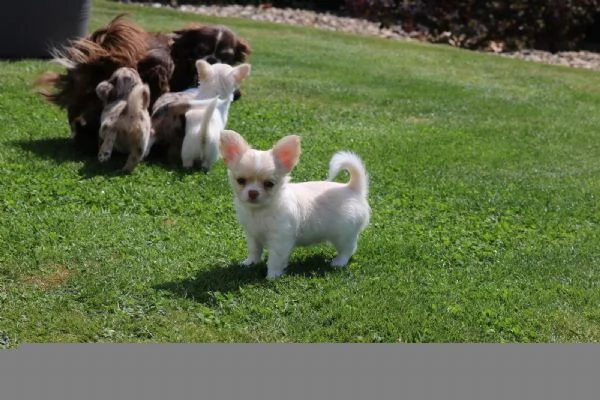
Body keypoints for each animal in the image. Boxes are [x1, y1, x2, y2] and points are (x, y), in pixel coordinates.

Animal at [220, 129, 370, 278]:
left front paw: (272, 276)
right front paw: (250, 263)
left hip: (343, 234)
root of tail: (353, 189)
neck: (259, 211)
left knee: (348, 249)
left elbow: (274, 259)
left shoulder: (280, 240)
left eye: (269, 184)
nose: (253, 192)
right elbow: (255, 250)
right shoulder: (252, 235)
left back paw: (339, 262)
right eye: (241, 181)